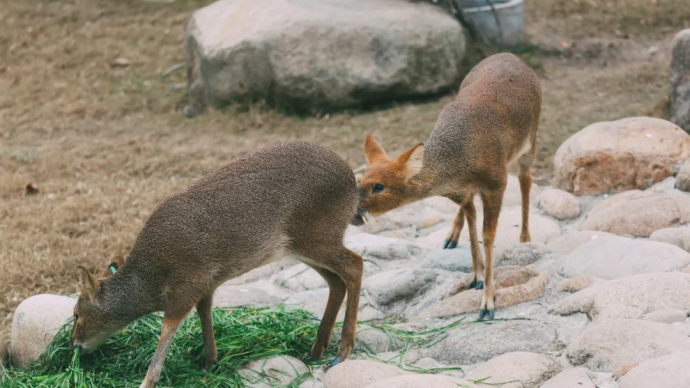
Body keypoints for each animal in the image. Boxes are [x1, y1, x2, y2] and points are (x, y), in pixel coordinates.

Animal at [70, 141, 366, 388]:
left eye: (76, 314)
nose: (73, 344)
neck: (150, 276)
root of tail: (352, 181)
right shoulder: (207, 285)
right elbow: (205, 314)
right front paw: (210, 362)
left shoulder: (186, 285)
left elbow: (167, 331)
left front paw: (147, 382)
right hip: (302, 247)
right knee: (336, 281)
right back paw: (316, 350)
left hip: (316, 239)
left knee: (356, 264)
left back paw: (341, 352)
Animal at [358, 53, 540, 322]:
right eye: (359, 181)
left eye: (379, 186)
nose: (354, 208)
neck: (460, 160)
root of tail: (511, 55)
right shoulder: (461, 191)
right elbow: (473, 225)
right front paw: (476, 276)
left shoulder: (496, 183)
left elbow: (488, 236)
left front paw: (488, 302)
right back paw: (451, 236)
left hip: (531, 140)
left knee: (526, 179)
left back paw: (525, 237)